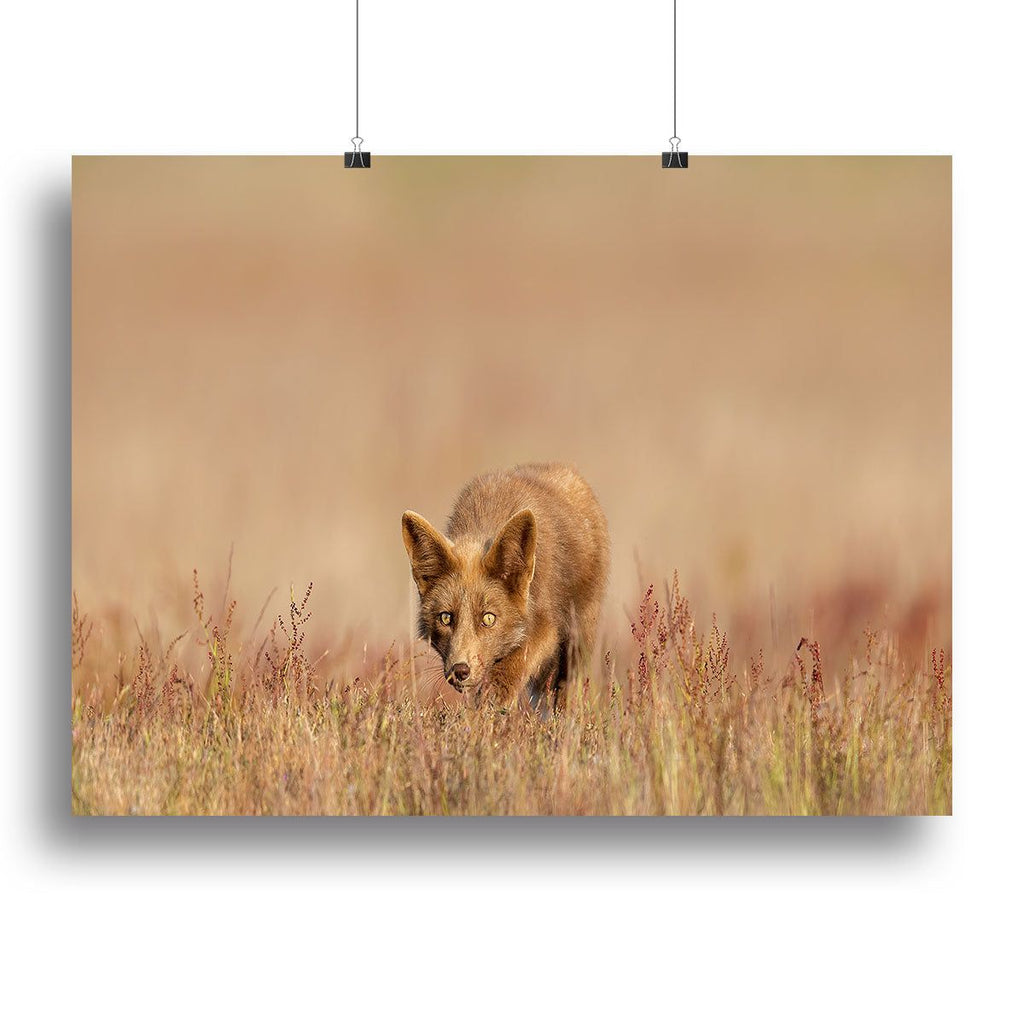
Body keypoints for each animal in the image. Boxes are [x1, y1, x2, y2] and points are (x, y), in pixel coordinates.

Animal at [401, 463, 610, 711]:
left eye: (489, 618)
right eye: (445, 618)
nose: (459, 671)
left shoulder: (546, 626)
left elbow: (512, 667)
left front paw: (488, 706)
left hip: (578, 639)